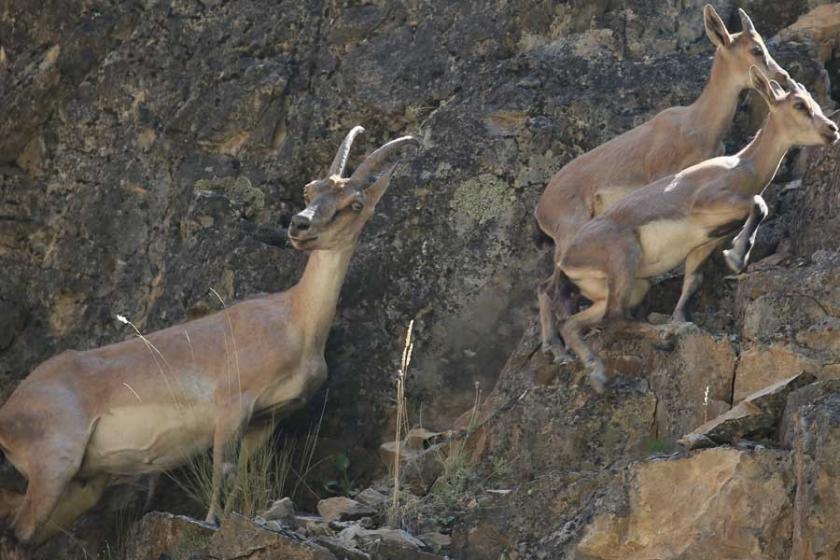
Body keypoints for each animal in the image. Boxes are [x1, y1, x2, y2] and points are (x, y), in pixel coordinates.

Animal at [0, 127, 420, 552]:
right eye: (309, 189)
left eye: (355, 203)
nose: (299, 225)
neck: (293, 321)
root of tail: (9, 412)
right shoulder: (232, 403)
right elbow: (224, 470)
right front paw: (212, 521)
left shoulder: (263, 421)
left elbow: (239, 476)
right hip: (54, 462)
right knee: (17, 535)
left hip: (82, 483)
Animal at [536, 4, 792, 364]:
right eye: (756, 49)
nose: (782, 78)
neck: (696, 123)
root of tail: (541, 208)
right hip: (570, 234)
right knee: (549, 286)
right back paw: (558, 349)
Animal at [556, 69, 840, 394]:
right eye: (799, 105)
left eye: (812, 100)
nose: (832, 129)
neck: (741, 166)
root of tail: (567, 260)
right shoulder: (706, 202)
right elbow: (760, 204)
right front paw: (736, 257)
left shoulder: (703, 243)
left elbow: (692, 279)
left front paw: (683, 320)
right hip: (623, 257)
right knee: (614, 318)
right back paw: (661, 336)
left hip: (625, 286)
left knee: (575, 323)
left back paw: (599, 373)